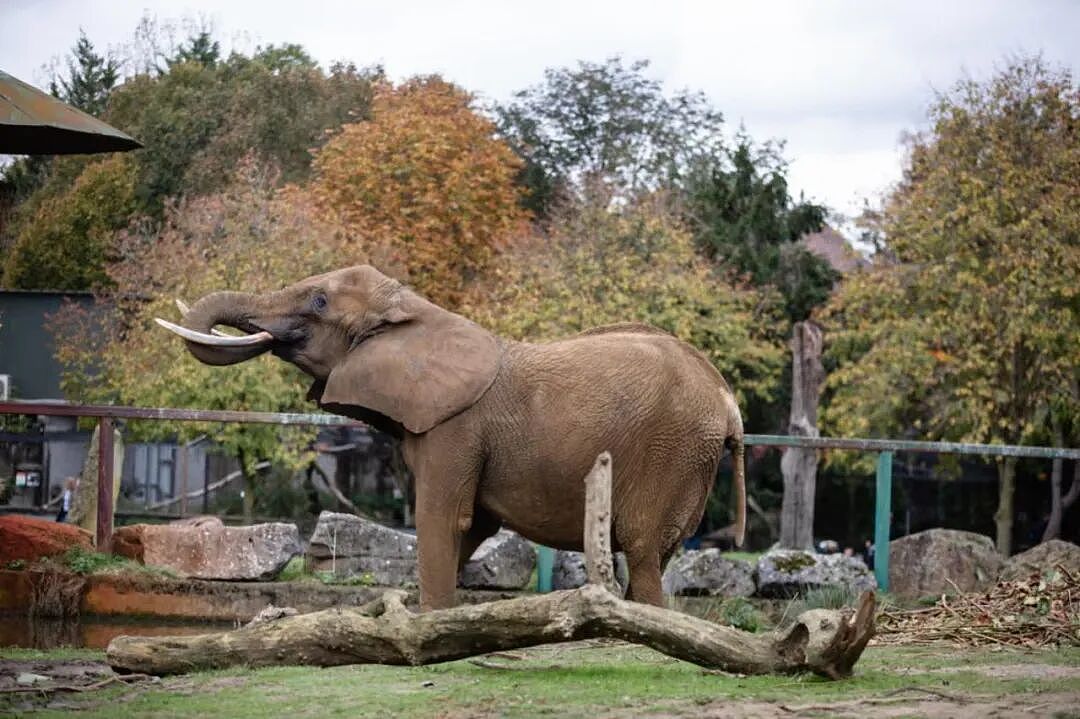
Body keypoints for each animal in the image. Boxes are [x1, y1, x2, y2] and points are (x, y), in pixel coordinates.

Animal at [156, 265, 746, 609]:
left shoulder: (455, 427)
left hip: (669, 451)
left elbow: (442, 520)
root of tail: (727, 399)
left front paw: (428, 624)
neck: (417, 311)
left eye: (320, 303)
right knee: (659, 555)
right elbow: (470, 530)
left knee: (644, 555)